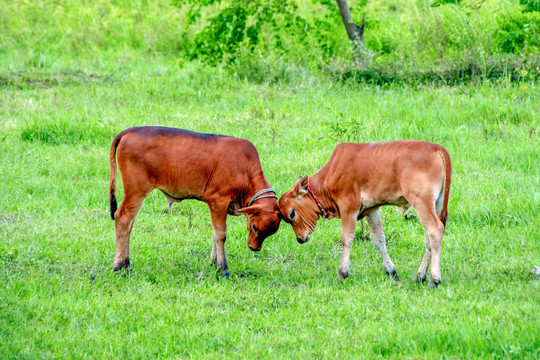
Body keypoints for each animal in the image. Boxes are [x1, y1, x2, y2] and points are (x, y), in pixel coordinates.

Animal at [107, 126, 280, 276]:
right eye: (255, 227)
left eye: (271, 232)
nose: (254, 248)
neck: (245, 170)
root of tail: (130, 131)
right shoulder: (218, 201)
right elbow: (221, 235)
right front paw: (223, 269)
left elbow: (214, 233)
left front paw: (213, 263)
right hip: (136, 191)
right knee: (122, 219)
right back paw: (119, 266)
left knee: (129, 224)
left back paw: (126, 264)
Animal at [278, 140, 452, 286]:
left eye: (292, 214)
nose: (300, 239)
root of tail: (436, 147)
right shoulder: (372, 209)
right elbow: (378, 238)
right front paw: (391, 271)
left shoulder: (349, 207)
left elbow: (347, 238)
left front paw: (342, 273)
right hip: (435, 204)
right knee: (429, 238)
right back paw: (420, 275)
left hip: (421, 201)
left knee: (434, 230)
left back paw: (434, 279)